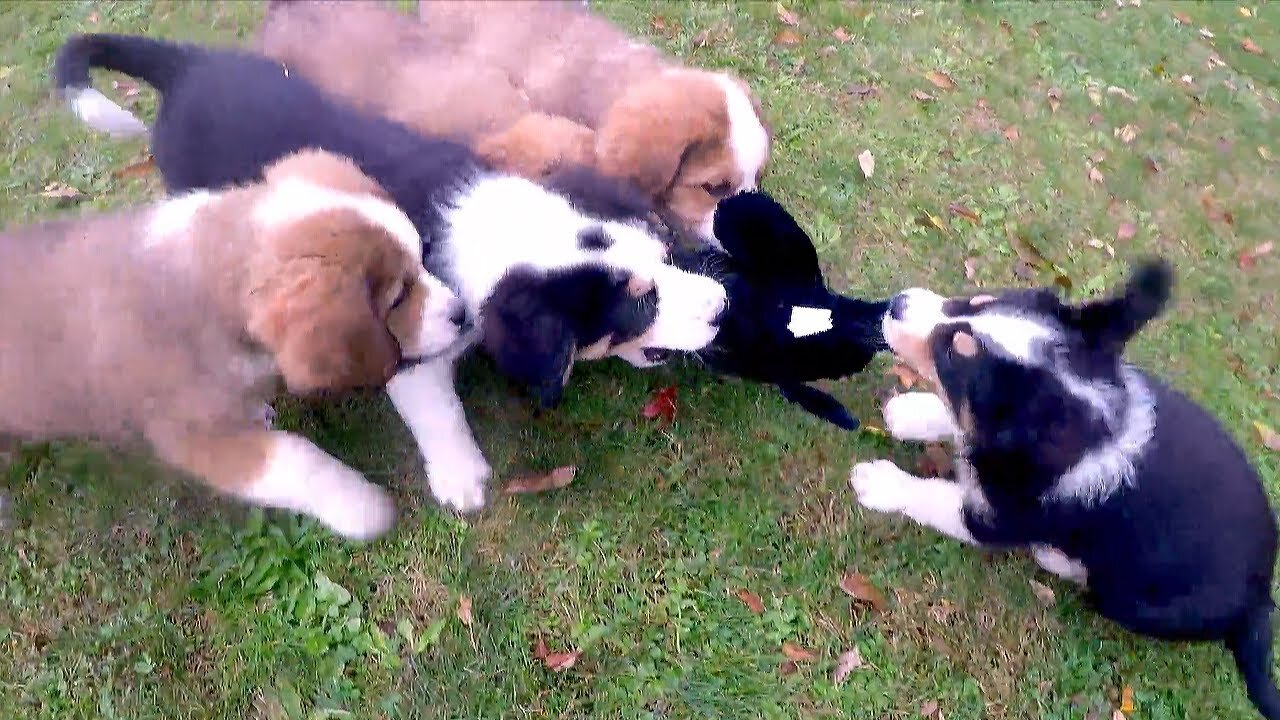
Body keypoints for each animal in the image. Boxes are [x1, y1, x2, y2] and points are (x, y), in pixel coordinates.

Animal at [0, 149, 471, 538]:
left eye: (422, 260)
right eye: (398, 296)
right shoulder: (195, 436)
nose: (463, 312)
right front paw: (364, 509)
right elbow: (298, 459)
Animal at [55, 33, 732, 512]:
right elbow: (435, 408)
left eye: (666, 254)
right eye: (638, 304)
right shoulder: (405, 328)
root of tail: (185, 65)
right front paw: (462, 478)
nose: (723, 305)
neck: (486, 220)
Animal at [849, 257, 1280, 717]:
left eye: (955, 353)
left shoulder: (999, 518)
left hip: (1132, 599)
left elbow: (933, 496)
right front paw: (913, 412)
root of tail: (1260, 597)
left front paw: (878, 482)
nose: (897, 303)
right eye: (979, 300)